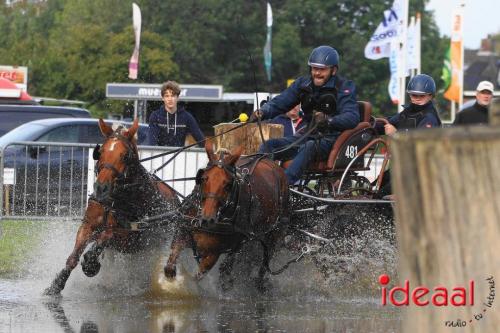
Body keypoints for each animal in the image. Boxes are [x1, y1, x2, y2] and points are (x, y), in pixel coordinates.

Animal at [43, 118, 180, 294]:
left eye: (125, 156)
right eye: (99, 152)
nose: (101, 188)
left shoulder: (127, 238)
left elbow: (106, 236)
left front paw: (90, 262)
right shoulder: (88, 225)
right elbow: (73, 257)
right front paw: (57, 285)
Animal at [164, 140, 290, 288]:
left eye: (228, 184)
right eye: (204, 178)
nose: (207, 219)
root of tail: (270, 162)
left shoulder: (214, 253)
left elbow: (196, 277)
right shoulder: (183, 233)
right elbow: (170, 266)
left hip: (274, 233)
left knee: (262, 262)